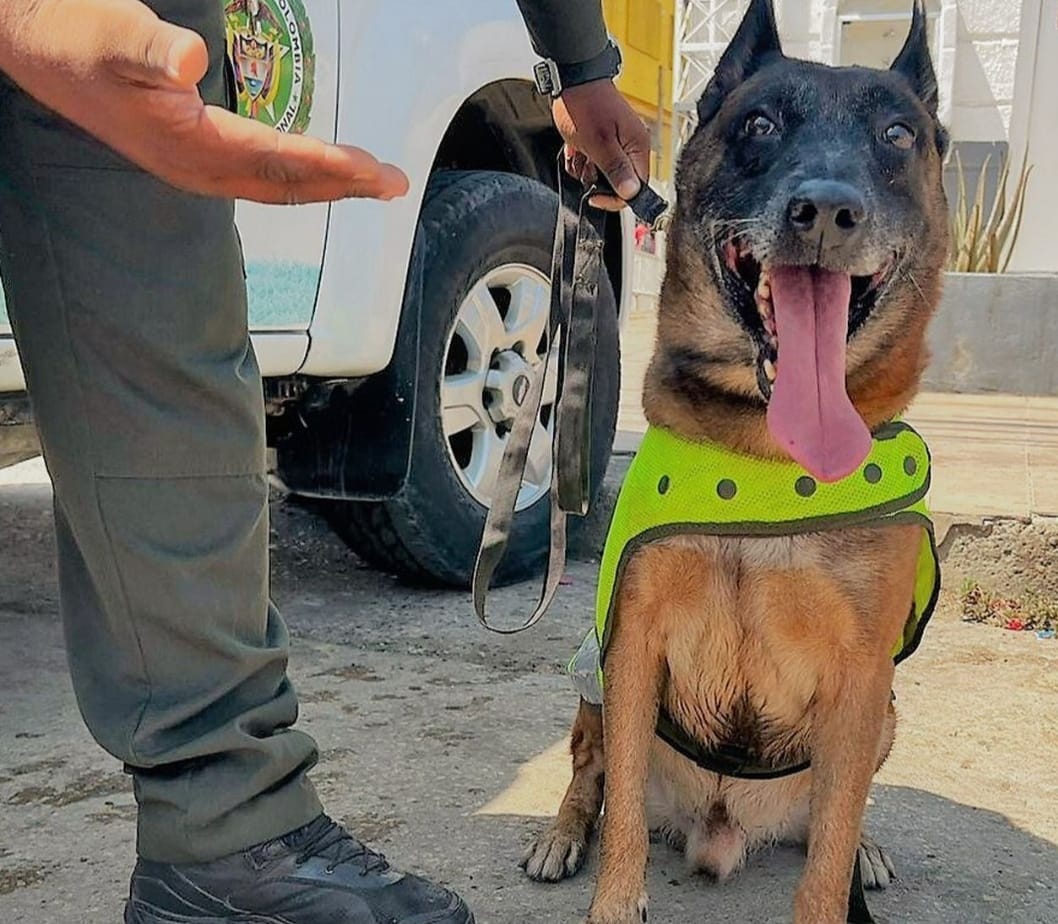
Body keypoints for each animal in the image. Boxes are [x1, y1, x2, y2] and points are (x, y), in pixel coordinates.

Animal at [520, 1, 952, 922]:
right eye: (758, 124)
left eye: (898, 135)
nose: (825, 211)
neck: (764, 456)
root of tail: (723, 826)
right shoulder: (632, 648)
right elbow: (619, 816)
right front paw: (613, 899)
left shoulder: (863, 677)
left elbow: (828, 848)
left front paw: (842, 871)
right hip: (591, 686)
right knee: (591, 778)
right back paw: (561, 835)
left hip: (886, 712)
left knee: (836, 813)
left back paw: (865, 848)